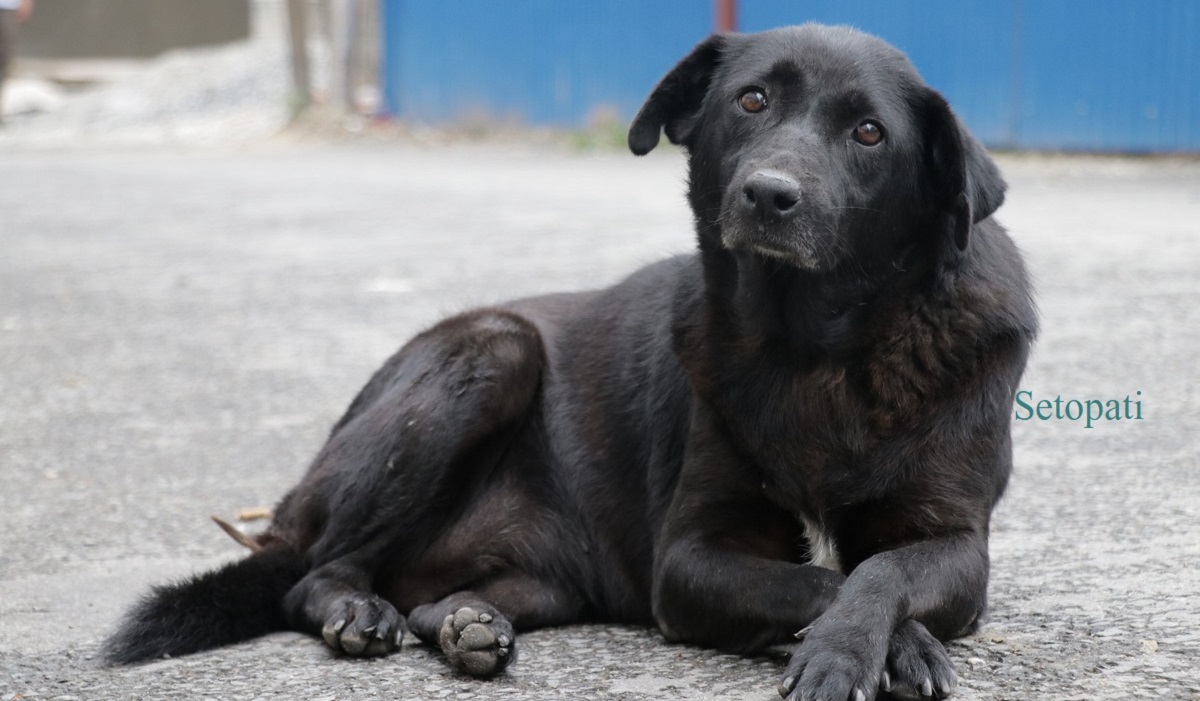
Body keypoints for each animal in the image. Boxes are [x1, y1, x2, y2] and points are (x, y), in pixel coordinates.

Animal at [108, 23, 1036, 701]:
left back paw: (467, 625)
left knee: (430, 599)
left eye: (870, 132)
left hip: (543, 575)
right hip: (491, 348)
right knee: (311, 575)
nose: (770, 195)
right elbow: (815, 581)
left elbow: (877, 569)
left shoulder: (955, 541)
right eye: (753, 99)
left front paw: (867, 645)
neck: (817, 349)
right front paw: (874, 648)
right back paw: (356, 613)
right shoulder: (690, 559)